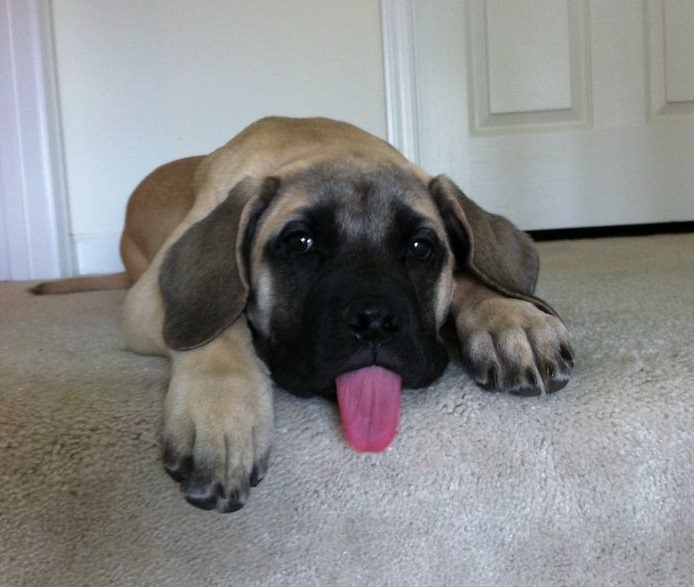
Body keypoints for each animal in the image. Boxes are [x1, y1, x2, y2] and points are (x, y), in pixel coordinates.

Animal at [35, 117, 572, 512]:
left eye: (421, 248)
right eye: (300, 243)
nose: (374, 320)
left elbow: (470, 276)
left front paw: (510, 317)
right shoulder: (148, 300)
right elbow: (220, 324)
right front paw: (222, 411)